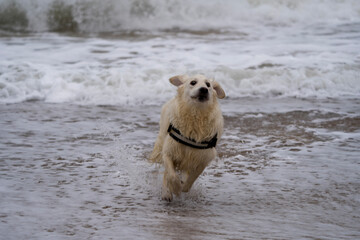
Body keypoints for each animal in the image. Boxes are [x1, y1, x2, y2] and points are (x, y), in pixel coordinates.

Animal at [150, 73, 225, 201]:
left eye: (208, 85)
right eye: (193, 82)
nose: (204, 89)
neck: (195, 115)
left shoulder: (204, 157)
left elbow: (194, 175)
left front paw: (184, 187)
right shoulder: (169, 150)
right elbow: (171, 174)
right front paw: (175, 188)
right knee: (167, 173)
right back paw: (166, 193)